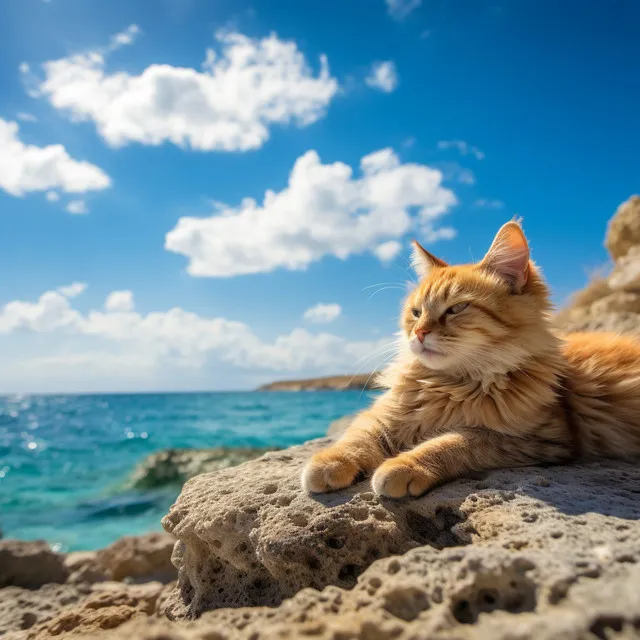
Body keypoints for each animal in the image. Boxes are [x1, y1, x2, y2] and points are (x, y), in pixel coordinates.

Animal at [302, 221, 640, 500]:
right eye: (416, 313)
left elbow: (455, 441)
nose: (419, 333)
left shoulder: (542, 439)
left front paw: (404, 466)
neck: (450, 384)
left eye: (456, 308)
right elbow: (357, 436)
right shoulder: (385, 413)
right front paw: (329, 461)